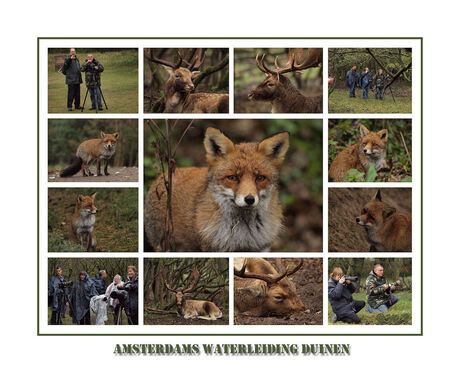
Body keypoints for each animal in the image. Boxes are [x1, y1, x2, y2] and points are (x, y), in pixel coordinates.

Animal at [144, 126, 290, 251]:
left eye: (260, 178)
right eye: (232, 177)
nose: (249, 199)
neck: (243, 234)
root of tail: (160, 178)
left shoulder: (262, 248)